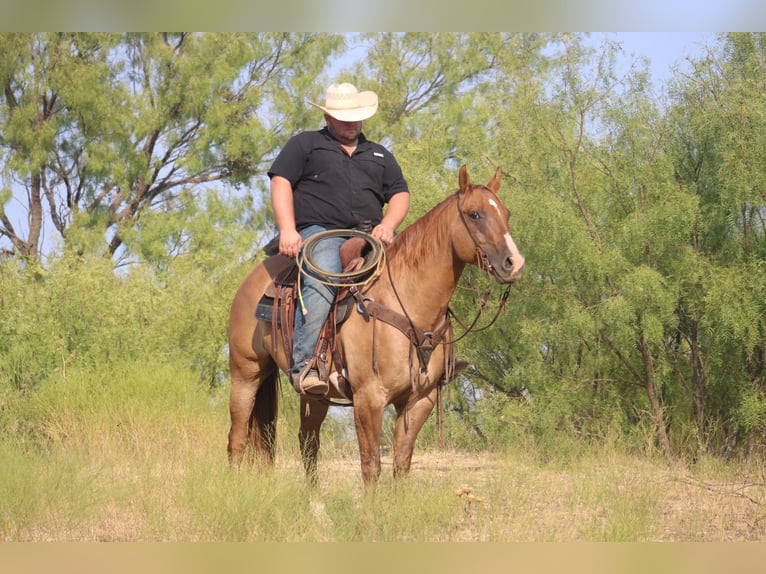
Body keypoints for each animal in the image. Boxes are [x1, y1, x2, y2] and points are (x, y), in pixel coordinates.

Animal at [228, 165, 524, 486]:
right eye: (475, 214)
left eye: (506, 213)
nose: (515, 263)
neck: (407, 303)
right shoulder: (368, 398)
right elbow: (371, 466)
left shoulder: (420, 400)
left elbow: (401, 465)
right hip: (245, 374)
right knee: (237, 439)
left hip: (315, 395)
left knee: (308, 445)